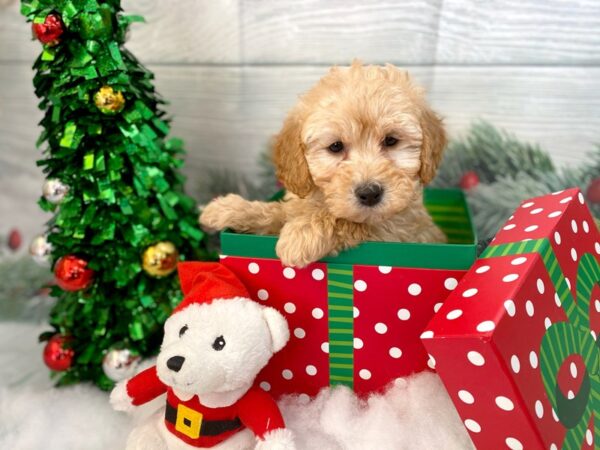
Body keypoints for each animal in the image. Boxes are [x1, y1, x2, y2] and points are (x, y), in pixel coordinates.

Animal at [200, 62, 446, 268]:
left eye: (391, 141)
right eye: (336, 146)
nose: (369, 194)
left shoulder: (394, 230)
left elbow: (348, 222)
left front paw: (301, 234)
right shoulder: (298, 204)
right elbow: (277, 211)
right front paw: (226, 208)